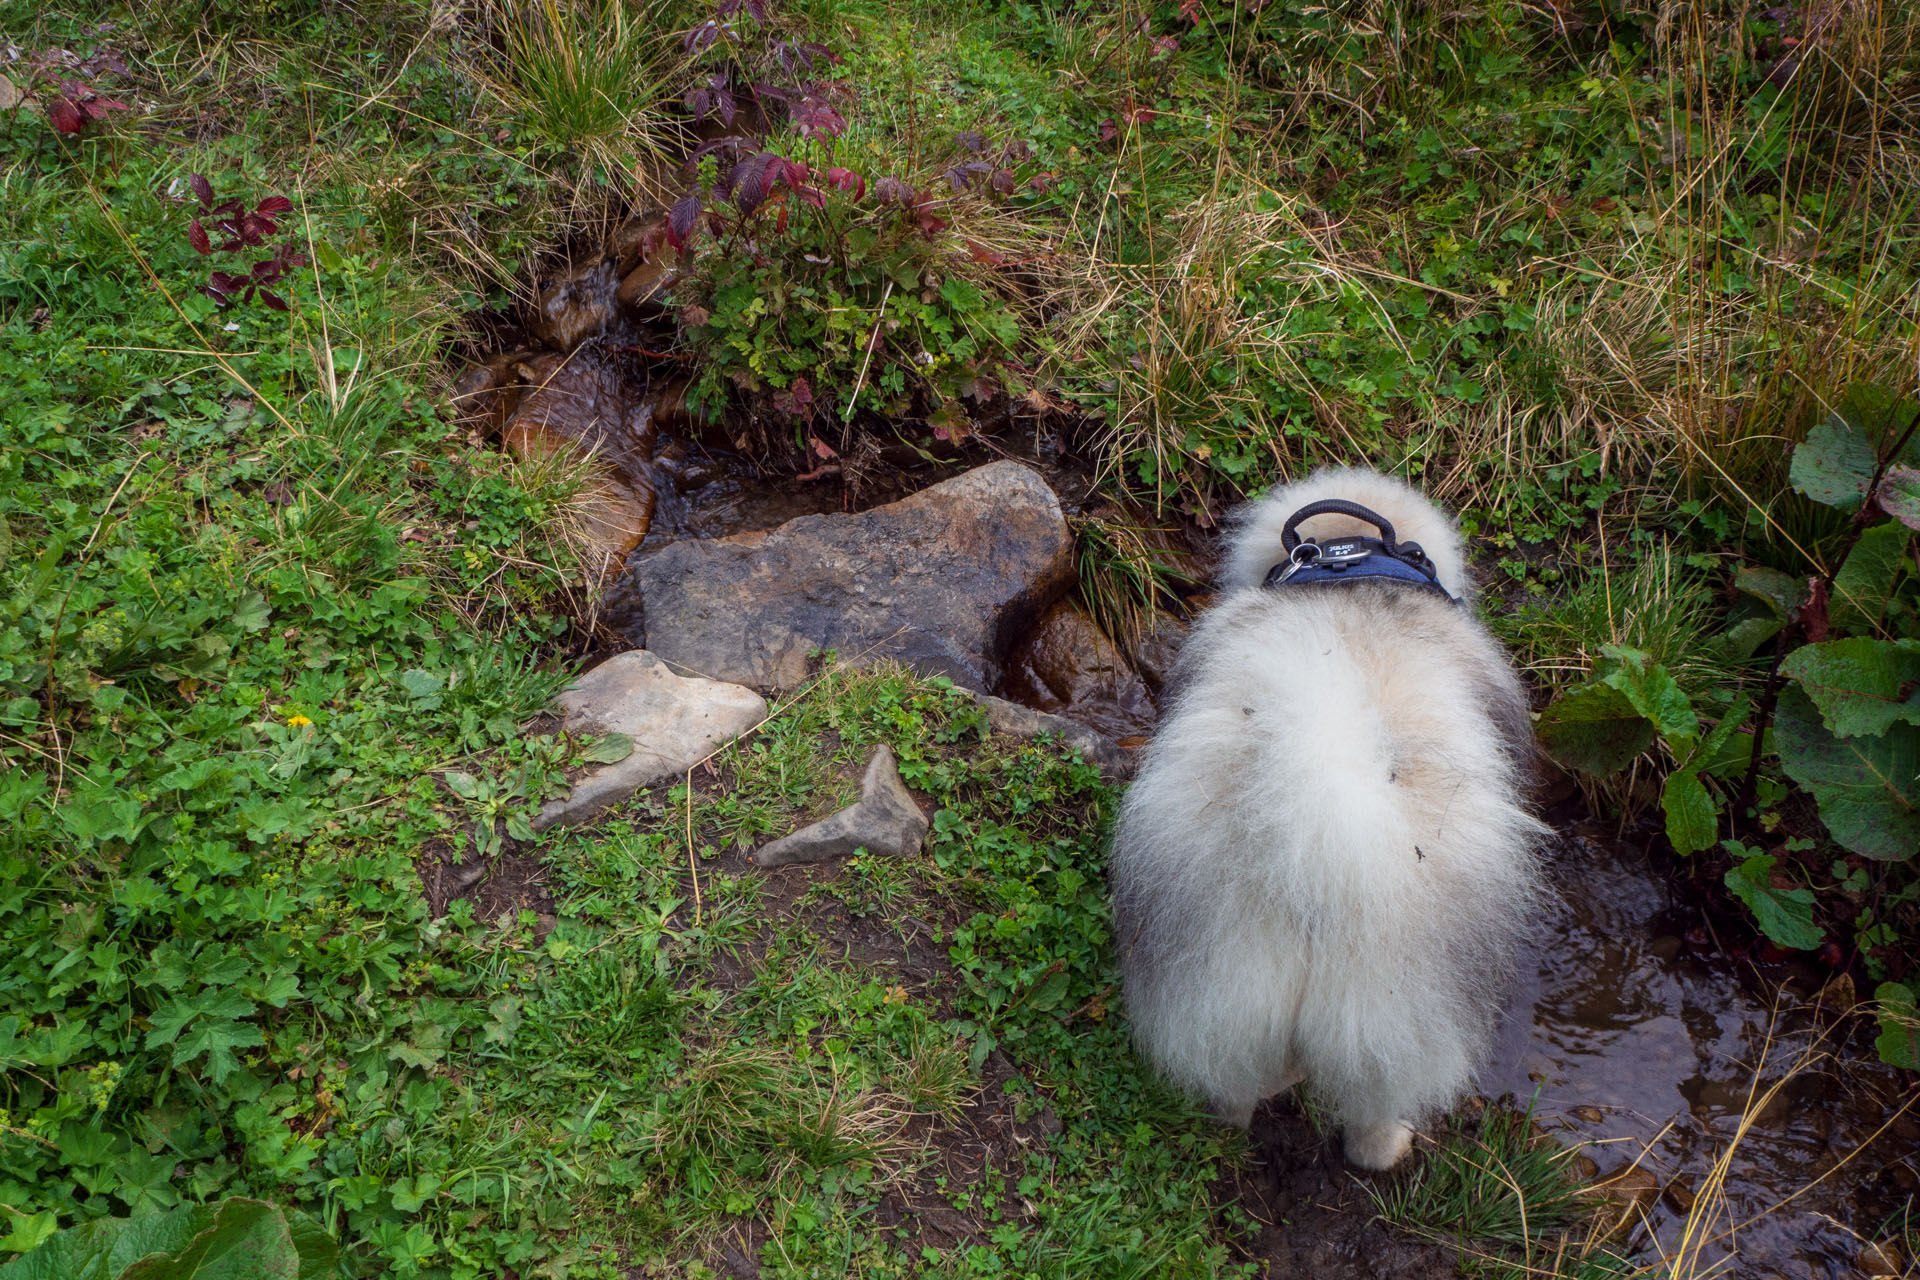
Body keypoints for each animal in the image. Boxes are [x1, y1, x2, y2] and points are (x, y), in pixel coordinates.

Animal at [1113, 470, 1543, 1174]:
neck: (1352, 565)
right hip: (1397, 1024)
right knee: (1370, 1116)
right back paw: (1391, 1146)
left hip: (1225, 996)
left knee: (1237, 1092)